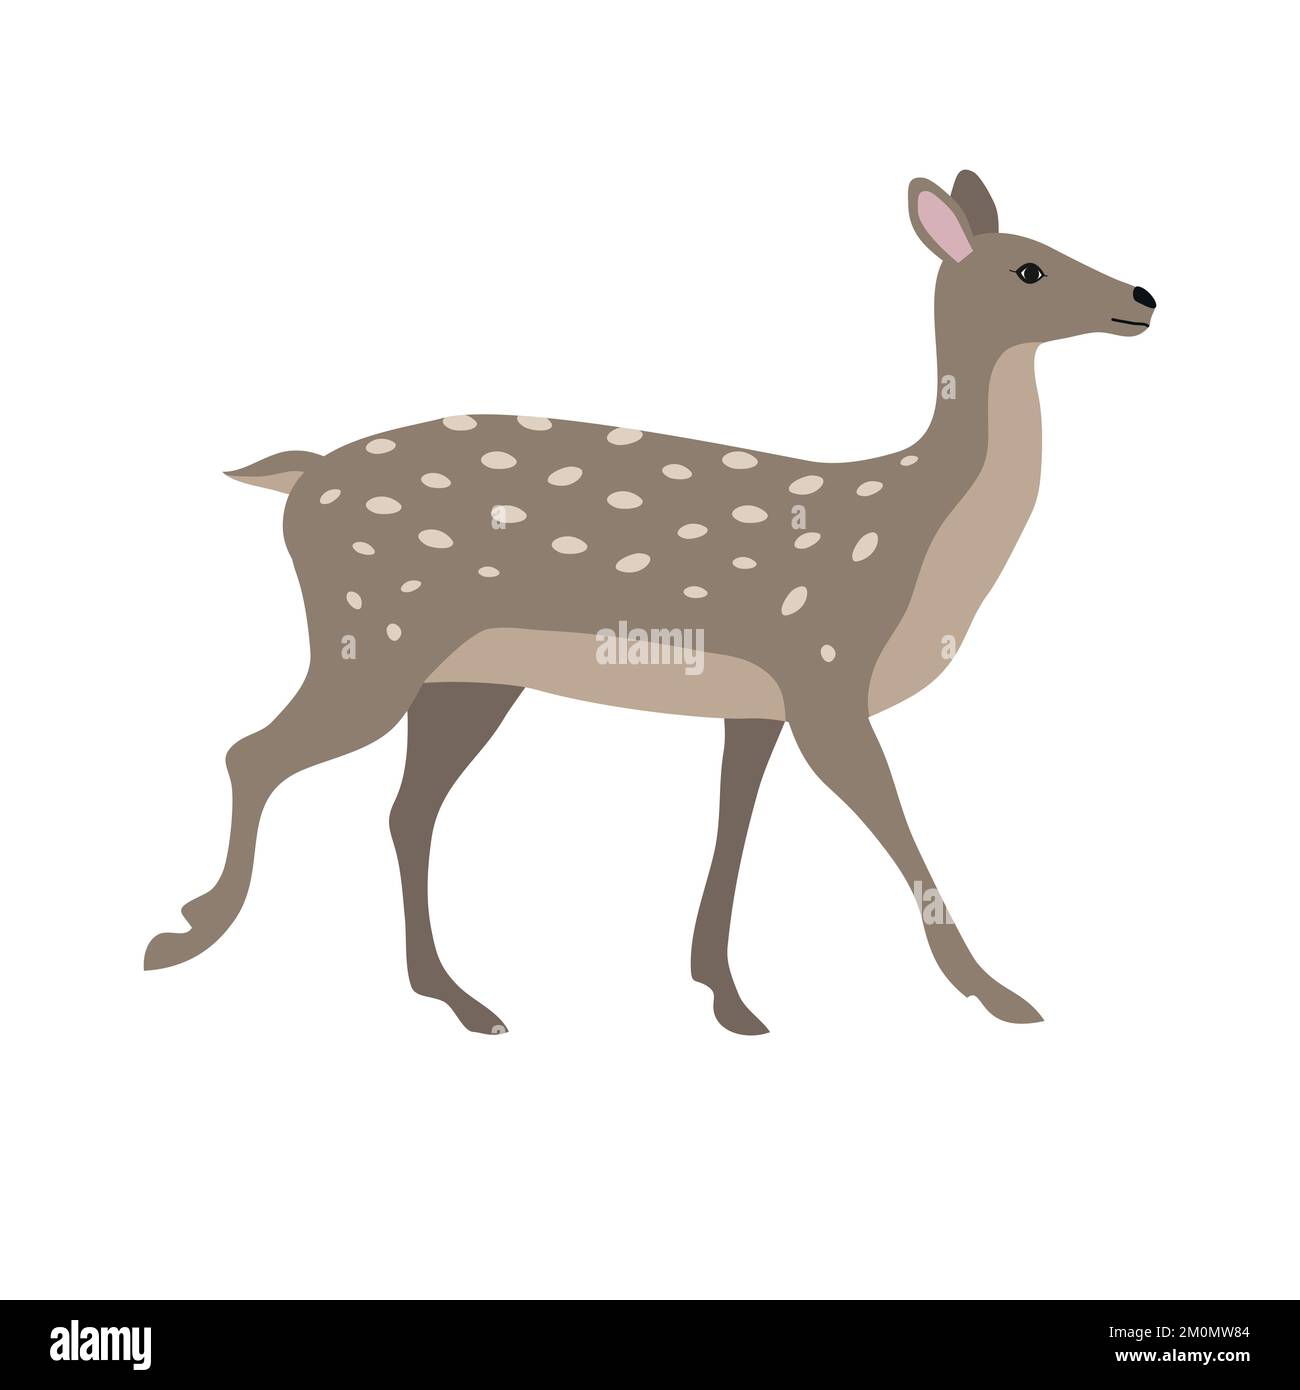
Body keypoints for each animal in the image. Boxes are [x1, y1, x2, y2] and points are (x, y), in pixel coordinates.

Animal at [146, 171, 1156, 1035]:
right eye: (1030, 267)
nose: (1145, 296)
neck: (914, 542)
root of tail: (298, 478)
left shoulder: (759, 701)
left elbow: (733, 828)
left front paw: (727, 996)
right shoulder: (824, 670)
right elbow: (896, 823)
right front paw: (1000, 995)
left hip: (462, 673)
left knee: (404, 808)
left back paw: (461, 1000)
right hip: (370, 630)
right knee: (253, 754)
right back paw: (185, 934)